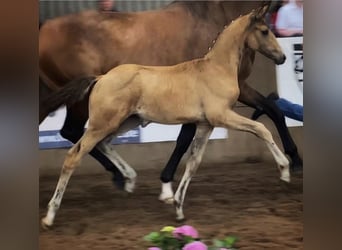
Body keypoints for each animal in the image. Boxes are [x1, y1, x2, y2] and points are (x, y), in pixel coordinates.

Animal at [41, 6, 290, 227]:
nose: (283, 57)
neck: (216, 69)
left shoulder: (204, 124)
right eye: (264, 30)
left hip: (124, 121)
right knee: (73, 155)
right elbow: (261, 129)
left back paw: (129, 178)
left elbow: (193, 163)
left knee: (103, 144)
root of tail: (100, 77)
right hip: (102, 123)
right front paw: (285, 170)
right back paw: (50, 216)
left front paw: (178, 207)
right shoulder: (221, 116)